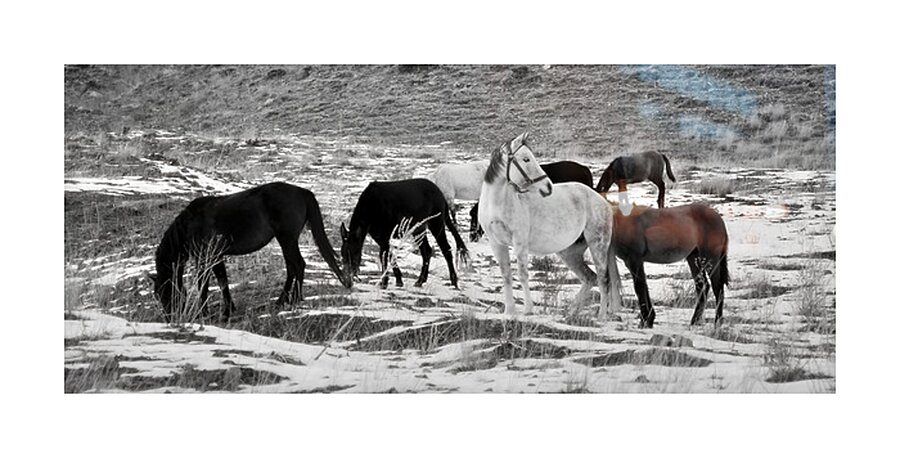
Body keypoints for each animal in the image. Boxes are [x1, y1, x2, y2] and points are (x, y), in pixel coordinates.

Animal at [150, 182, 351, 322]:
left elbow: (205, 285)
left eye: (165, 291)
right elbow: (222, 282)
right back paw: (282, 300)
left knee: (298, 265)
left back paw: (294, 299)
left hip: (287, 238)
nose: (170, 318)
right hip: (286, 240)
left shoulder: (206, 258)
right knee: (292, 267)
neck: (191, 224)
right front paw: (228, 310)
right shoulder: (216, 257)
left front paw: (206, 313)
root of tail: (302, 192)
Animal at [340, 178, 469, 289]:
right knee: (426, 251)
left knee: (446, 249)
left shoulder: (385, 235)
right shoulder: (379, 237)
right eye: (343, 254)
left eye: (354, 252)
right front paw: (398, 280)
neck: (372, 206)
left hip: (436, 223)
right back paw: (420, 280)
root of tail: (440, 195)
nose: (349, 278)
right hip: (419, 229)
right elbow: (390, 255)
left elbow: (384, 255)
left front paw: (384, 282)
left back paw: (454, 281)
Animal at [478, 132, 621, 316]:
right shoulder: (497, 243)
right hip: (569, 253)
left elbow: (522, 274)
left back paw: (601, 316)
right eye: (526, 159)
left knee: (603, 280)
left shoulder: (520, 243)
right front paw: (509, 311)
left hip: (598, 246)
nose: (548, 187)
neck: (498, 204)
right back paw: (570, 312)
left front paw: (528, 310)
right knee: (589, 278)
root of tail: (603, 202)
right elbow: (506, 275)